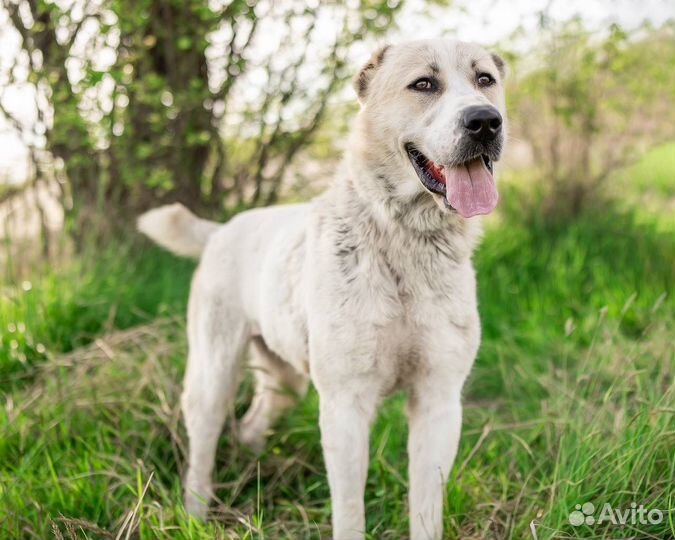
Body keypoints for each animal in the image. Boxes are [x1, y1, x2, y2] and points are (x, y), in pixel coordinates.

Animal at [139, 39, 508, 540]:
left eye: (485, 80)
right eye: (424, 84)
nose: (485, 121)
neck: (403, 241)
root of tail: (222, 229)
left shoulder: (439, 403)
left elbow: (426, 508)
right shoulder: (345, 407)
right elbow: (350, 511)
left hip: (285, 379)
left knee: (251, 424)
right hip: (212, 374)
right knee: (203, 448)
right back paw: (196, 514)